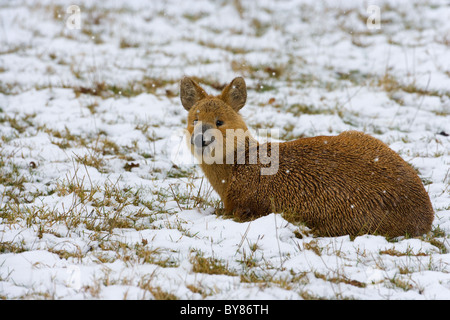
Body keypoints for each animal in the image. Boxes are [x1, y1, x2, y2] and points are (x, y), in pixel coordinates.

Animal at [180, 77, 436, 238]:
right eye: (194, 119)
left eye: (219, 121)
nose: (200, 138)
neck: (236, 169)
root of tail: (427, 214)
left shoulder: (244, 207)